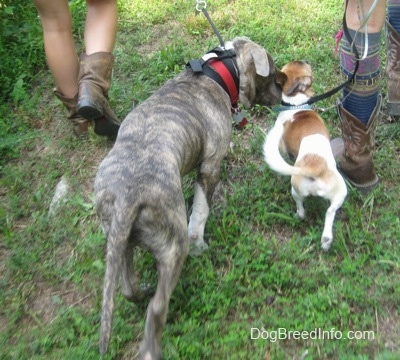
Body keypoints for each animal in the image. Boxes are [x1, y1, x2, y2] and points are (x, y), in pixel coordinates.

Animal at [95, 37, 282, 360]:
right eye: (270, 74)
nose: (283, 91)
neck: (217, 70)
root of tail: (126, 196)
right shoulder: (210, 167)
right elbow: (201, 211)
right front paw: (201, 244)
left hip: (119, 240)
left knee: (127, 287)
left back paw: (142, 292)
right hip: (171, 244)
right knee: (158, 307)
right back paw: (152, 347)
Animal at [262, 60, 346, 250]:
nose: (306, 60)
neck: (296, 104)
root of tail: (314, 168)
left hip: (296, 188)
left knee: (302, 209)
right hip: (340, 191)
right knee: (330, 211)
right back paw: (326, 240)